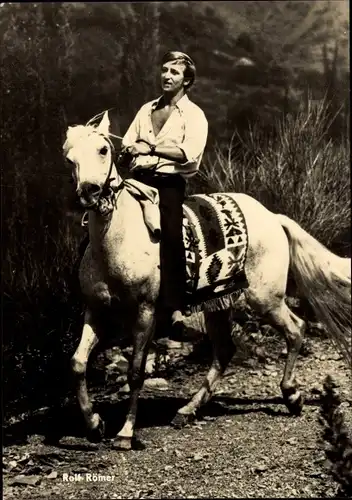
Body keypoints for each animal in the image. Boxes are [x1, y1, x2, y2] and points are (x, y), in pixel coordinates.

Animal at [62, 112, 350, 450]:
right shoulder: (96, 311)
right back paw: (188, 410)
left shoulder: (146, 312)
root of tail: (272, 217)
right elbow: (77, 363)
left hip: (265, 298)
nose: (90, 192)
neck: (118, 241)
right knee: (224, 350)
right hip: (219, 304)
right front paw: (94, 424)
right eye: (69, 158)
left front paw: (125, 433)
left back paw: (291, 395)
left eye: (103, 150)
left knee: (295, 329)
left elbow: (135, 372)